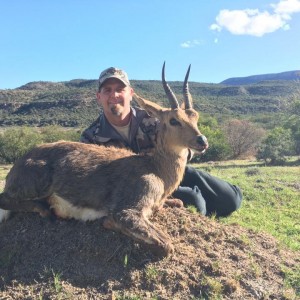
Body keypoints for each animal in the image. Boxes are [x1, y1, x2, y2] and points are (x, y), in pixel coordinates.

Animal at [0, 63, 207, 255]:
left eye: (195, 117)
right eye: (173, 120)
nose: (202, 141)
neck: (155, 168)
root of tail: (19, 163)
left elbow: (178, 203)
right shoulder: (127, 210)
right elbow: (165, 245)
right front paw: (107, 221)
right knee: (6, 199)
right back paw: (46, 209)